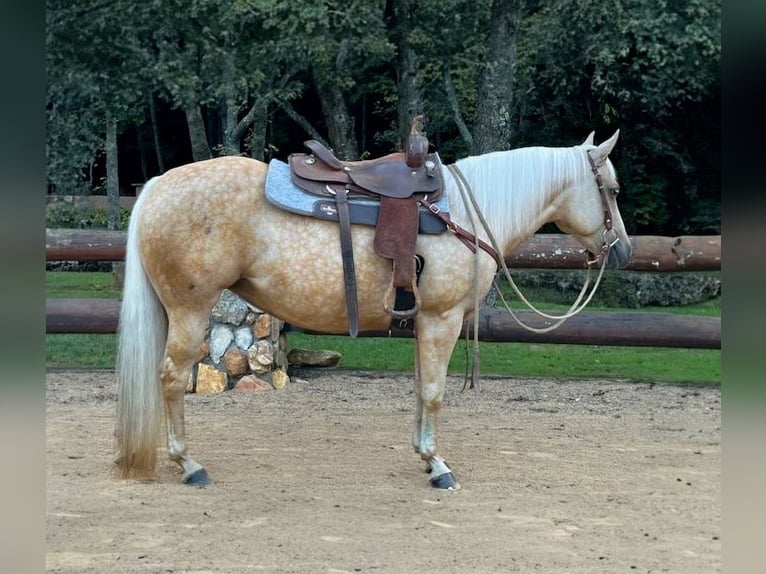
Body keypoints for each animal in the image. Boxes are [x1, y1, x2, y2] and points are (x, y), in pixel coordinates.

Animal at [116, 130, 631, 490]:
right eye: (611, 189)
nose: (623, 251)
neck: (465, 213)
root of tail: (158, 185)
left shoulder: (424, 324)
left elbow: (421, 389)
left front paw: (423, 455)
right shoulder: (441, 320)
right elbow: (435, 393)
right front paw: (439, 466)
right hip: (190, 310)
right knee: (171, 378)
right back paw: (189, 465)